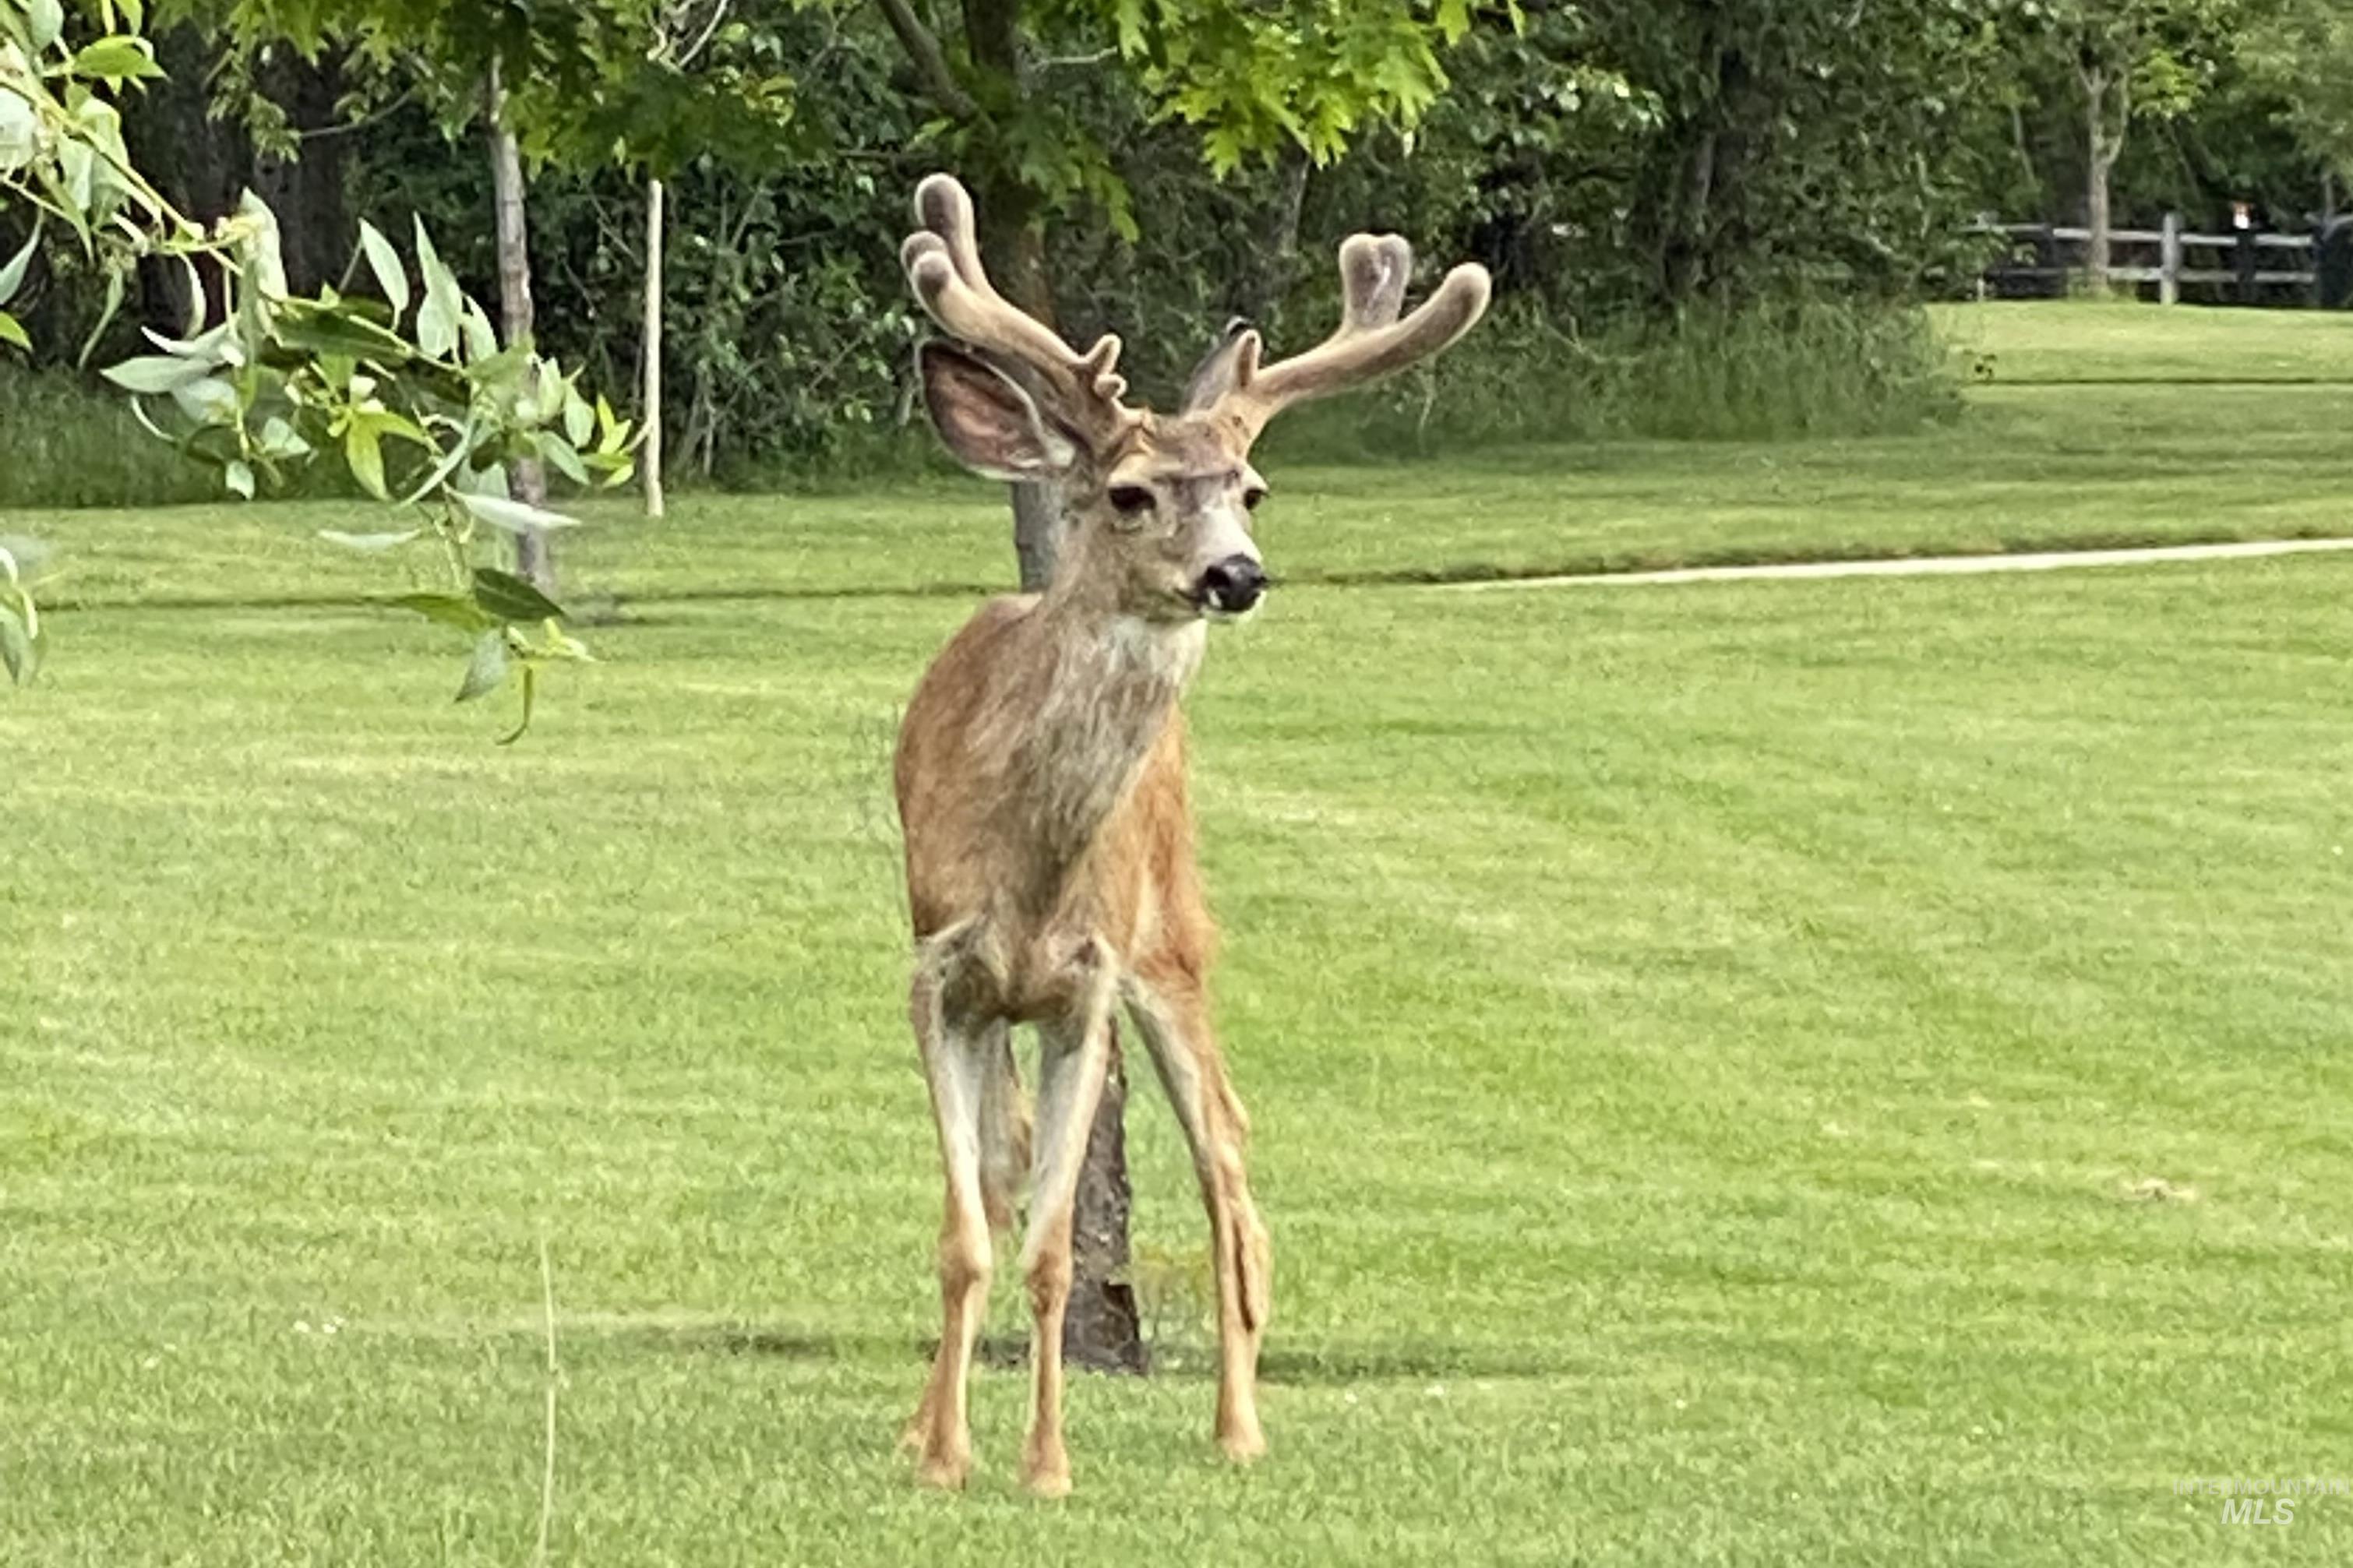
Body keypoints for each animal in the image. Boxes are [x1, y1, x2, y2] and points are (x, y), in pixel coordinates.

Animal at [891, 172, 1490, 1497]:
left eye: (1251, 492)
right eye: (1130, 493)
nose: (1237, 574)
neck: (1029, 869)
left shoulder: (1091, 978)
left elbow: (1057, 1245)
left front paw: (1044, 1464)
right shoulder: (940, 969)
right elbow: (971, 1227)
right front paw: (941, 1450)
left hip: (1175, 937)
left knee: (1226, 1147)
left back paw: (1240, 1426)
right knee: (1014, 1166)